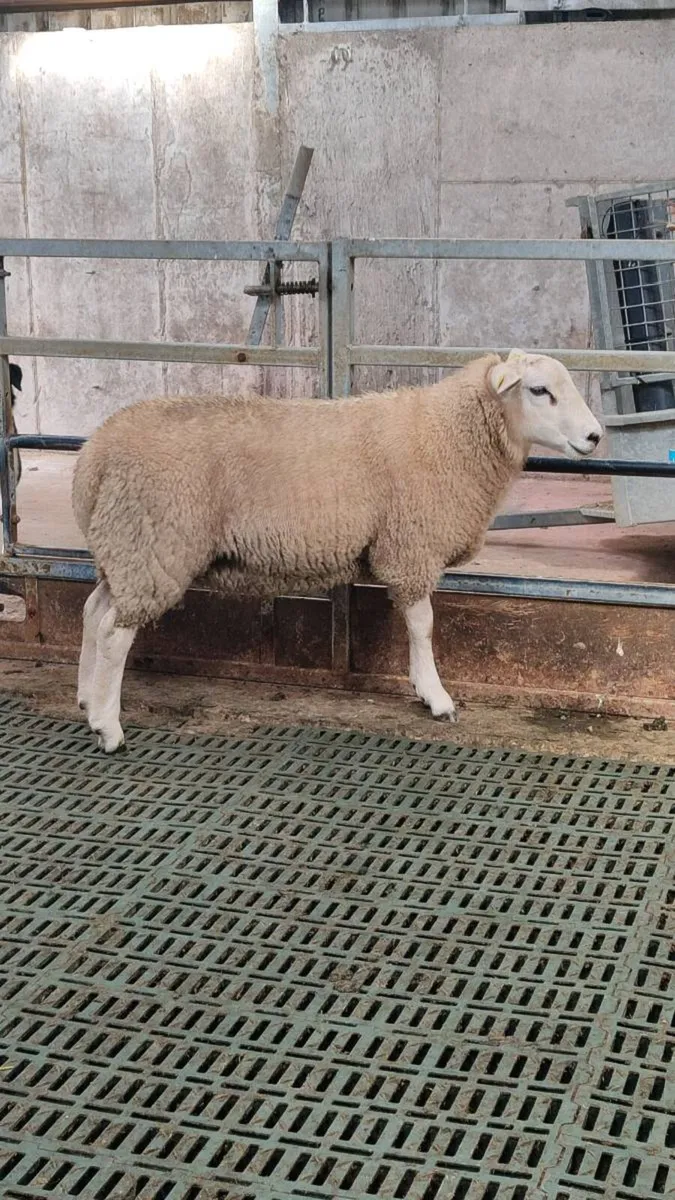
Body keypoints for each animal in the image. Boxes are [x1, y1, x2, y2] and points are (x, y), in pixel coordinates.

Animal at [72, 350, 602, 752]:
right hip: (153, 547)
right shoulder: (410, 547)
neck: (451, 433)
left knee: (93, 612)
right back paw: (108, 726)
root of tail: (95, 455)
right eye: (539, 391)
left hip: (121, 547)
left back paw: (84, 697)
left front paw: (423, 688)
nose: (596, 436)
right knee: (114, 633)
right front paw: (435, 696)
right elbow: (424, 625)